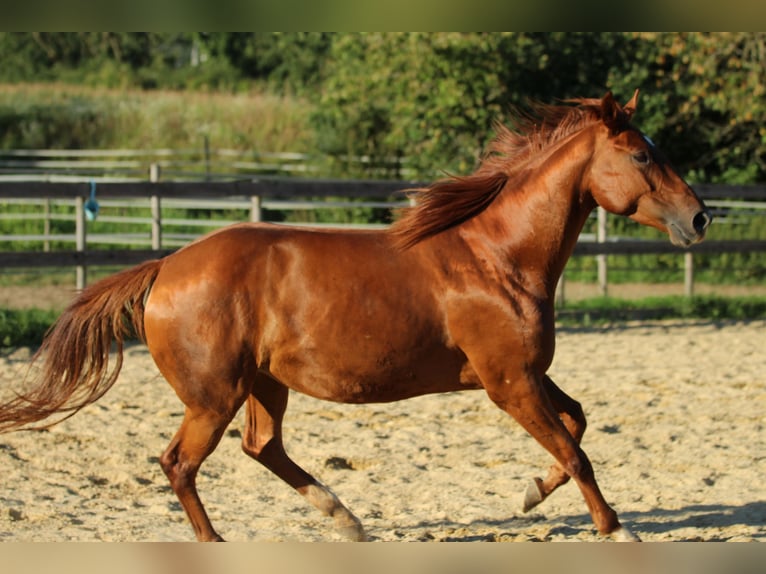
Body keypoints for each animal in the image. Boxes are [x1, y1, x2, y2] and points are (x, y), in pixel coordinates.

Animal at [0, 91, 712, 544]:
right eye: (643, 156)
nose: (701, 217)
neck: (498, 256)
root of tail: (164, 267)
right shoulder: (509, 383)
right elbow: (577, 450)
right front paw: (616, 531)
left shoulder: (523, 375)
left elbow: (579, 425)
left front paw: (531, 493)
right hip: (214, 395)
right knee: (179, 463)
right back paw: (223, 541)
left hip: (263, 384)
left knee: (262, 447)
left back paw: (346, 519)